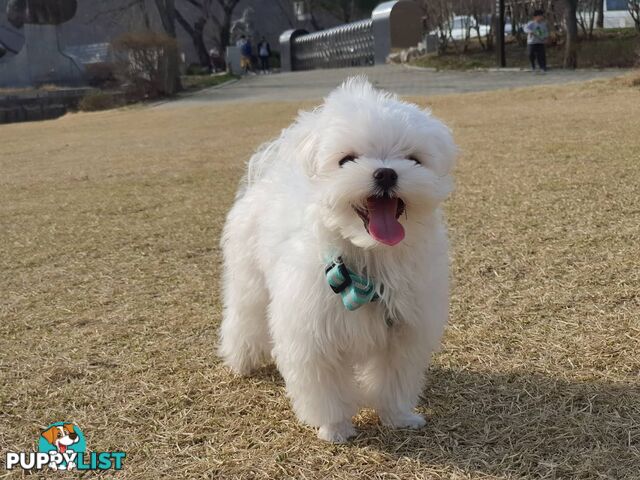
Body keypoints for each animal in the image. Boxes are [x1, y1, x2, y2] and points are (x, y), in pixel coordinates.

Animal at [219, 78, 456, 442]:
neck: (369, 259)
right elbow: (326, 388)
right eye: (347, 160)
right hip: (250, 283)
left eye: (413, 159)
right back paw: (241, 361)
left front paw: (398, 417)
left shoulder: (403, 334)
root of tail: (270, 174)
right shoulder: (313, 337)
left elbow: (394, 381)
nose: (386, 173)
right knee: (244, 318)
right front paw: (336, 429)